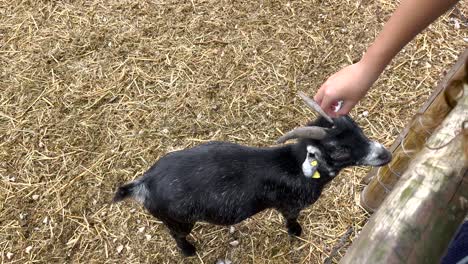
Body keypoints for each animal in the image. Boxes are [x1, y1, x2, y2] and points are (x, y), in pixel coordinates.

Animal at [113, 93, 392, 256]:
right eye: (340, 150)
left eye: (356, 127)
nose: (386, 155)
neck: (295, 166)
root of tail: (144, 183)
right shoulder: (290, 204)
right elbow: (291, 219)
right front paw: (296, 232)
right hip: (178, 220)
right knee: (177, 235)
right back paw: (189, 251)